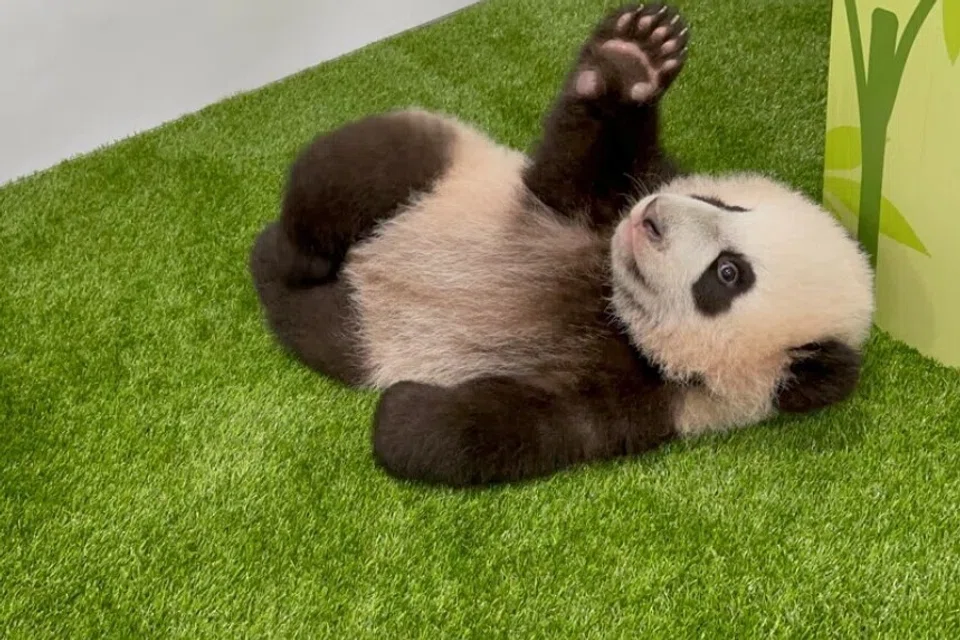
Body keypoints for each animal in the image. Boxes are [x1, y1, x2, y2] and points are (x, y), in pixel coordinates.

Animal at [249, 3, 875, 487]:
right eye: (722, 203)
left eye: (728, 274)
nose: (651, 219)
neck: (609, 300)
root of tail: (359, 271)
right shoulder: (593, 206)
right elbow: (568, 170)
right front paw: (632, 58)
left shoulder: (652, 403)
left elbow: (520, 426)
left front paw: (401, 414)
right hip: (436, 168)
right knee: (356, 164)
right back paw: (292, 244)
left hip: (358, 333)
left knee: (315, 319)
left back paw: (277, 266)